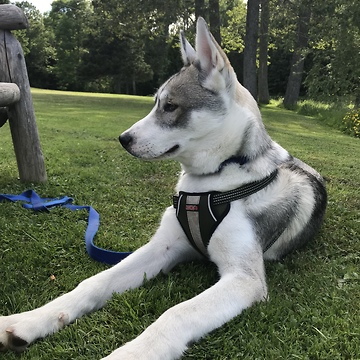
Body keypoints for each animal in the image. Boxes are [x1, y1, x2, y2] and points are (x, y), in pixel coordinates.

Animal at [0, 19, 326, 360]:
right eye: (157, 103)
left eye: (170, 106)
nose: (123, 139)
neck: (212, 182)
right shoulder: (164, 248)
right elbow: (94, 282)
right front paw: (28, 320)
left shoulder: (244, 278)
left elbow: (176, 313)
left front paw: (130, 353)